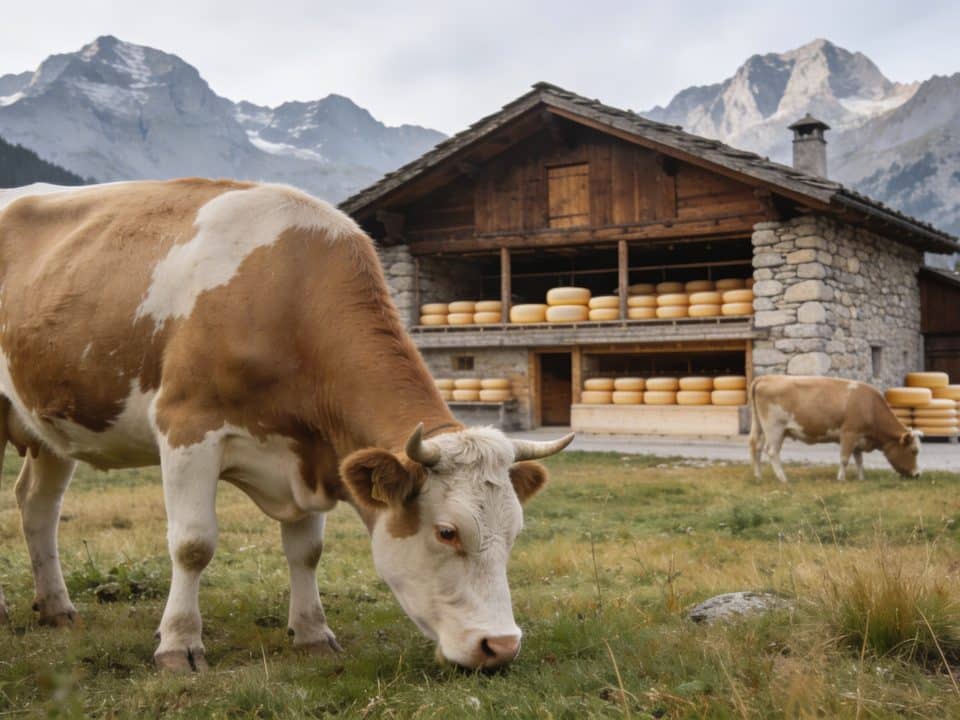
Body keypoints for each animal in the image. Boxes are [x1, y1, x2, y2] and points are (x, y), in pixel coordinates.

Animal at [0, 179, 574, 671]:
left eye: (516, 531)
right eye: (447, 531)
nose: (500, 645)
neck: (286, 292)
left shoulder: (312, 451)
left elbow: (307, 551)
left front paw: (313, 633)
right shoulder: (187, 428)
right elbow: (193, 544)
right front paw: (179, 644)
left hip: (47, 429)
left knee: (37, 507)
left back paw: (56, 607)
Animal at [749, 374, 921, 483]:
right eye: (914, 451)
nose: (917, 474)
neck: (870, 406)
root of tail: (765, 377)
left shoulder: (858, 437)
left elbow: (859, 459)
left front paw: (861, 478)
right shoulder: (849, 433)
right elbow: (845, 458)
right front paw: (841, 479)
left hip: (760, 426)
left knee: (756, 447)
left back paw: (758, 476)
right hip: (774, 428)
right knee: (772, 451)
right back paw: (783, 479)